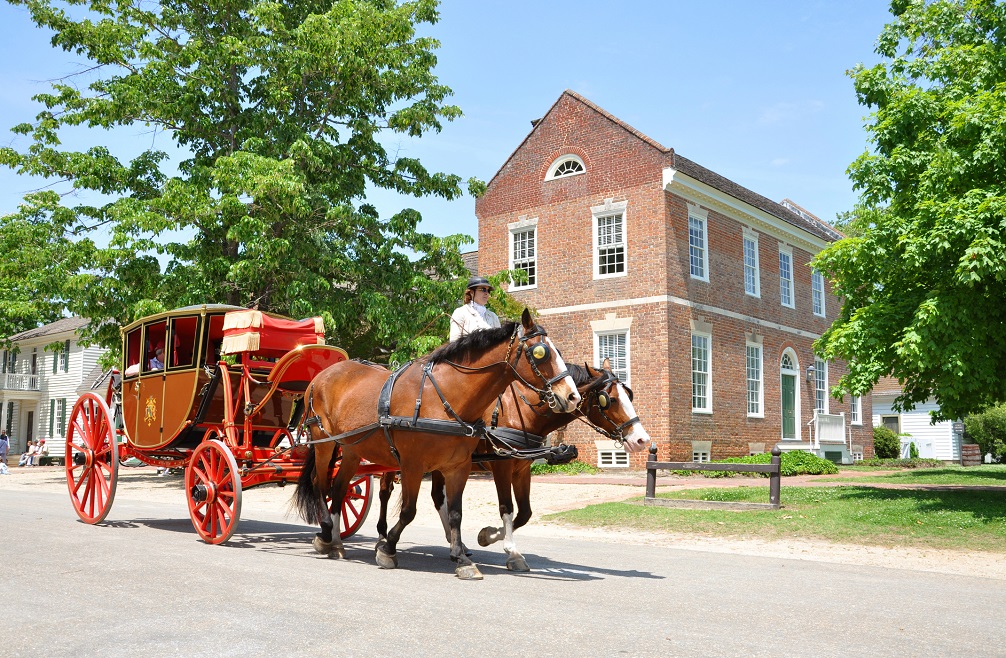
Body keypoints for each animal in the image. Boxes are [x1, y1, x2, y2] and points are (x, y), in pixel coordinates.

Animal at [293, 309, 579, 583]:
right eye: (540, 352)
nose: (572, 396)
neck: (443, 398)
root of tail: (323, 375)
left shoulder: (459, 467)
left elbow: (456, 513)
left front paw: (462, 559)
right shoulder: (413, 465)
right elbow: (409, 511)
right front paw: (388, 549)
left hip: (352, 450)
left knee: (340, 488)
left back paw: (336, 541)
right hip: (324, 442)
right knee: (321, 483)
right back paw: (326, 532)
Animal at [378, 360, 651, 571]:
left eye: (629, 395)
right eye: (609, 400)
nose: (642, 440)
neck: (522, 412)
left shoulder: (522, 469)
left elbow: (525, 512)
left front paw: (487, 536)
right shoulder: (502, 466)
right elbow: (507, 507)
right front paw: (510, 550)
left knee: (437, 497)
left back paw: (455, 543)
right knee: (384, 493)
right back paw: (382, 537)